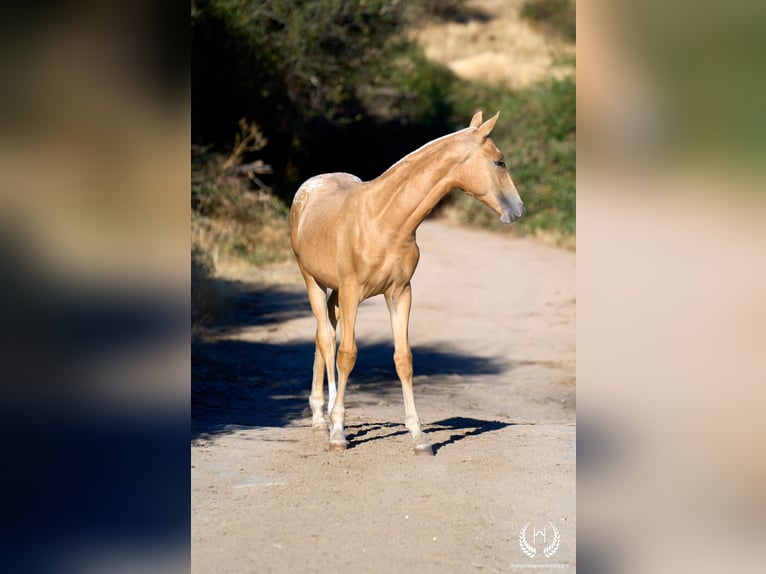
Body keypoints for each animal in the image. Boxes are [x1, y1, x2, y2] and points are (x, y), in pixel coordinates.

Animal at [289, 111, 524, 455]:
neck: (384, 220)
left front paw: (419, 437)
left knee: (324, 336)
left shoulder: (400, 293)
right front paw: (338, 433)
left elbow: (404, 359)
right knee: (327, 339)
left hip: (333, 292)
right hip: (314, 283)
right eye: (499, 162)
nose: (518, 209)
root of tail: (309, 188)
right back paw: (325, 419)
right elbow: (347, 354)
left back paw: (322, 414)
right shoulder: (352, 293)